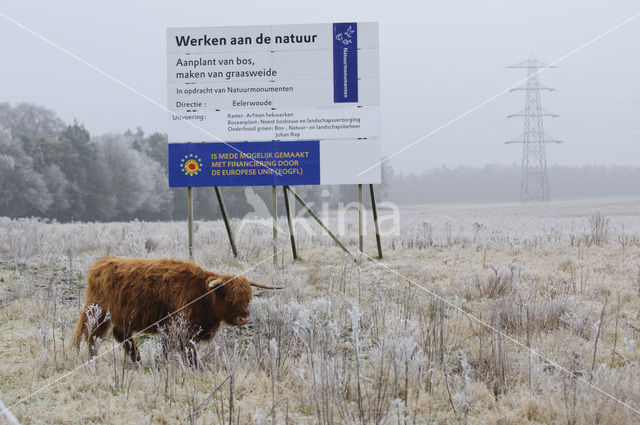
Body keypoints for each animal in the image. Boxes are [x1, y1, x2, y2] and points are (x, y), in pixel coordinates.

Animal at [72, 255, 278, 362]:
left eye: (249, 299)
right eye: (229, 297)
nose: (244, 318)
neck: (202, 294)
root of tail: (102, 262)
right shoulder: (177, 327)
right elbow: (178, 348)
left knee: (120, 335)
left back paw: (137, 359)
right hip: (97, 313)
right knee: (93, 337)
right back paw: (93, 359)